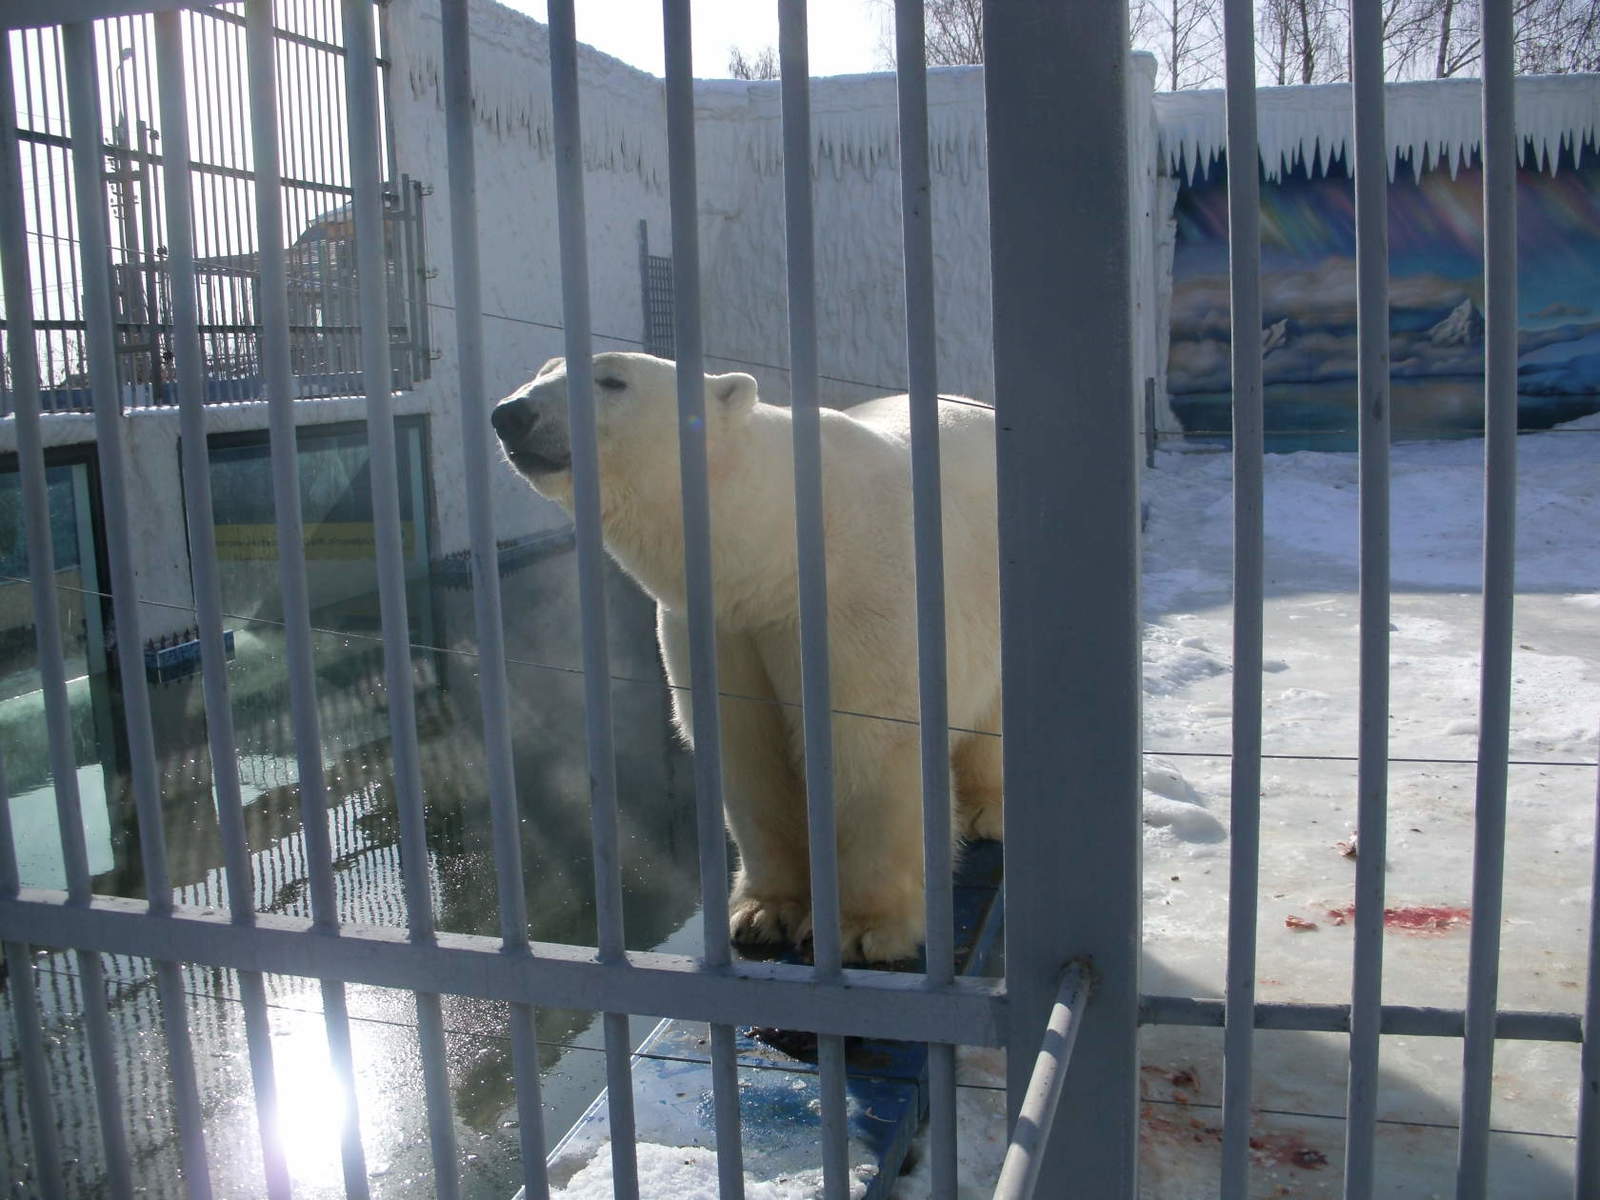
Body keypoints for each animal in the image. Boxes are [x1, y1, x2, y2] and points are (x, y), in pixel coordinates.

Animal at [492, 352, 998, 966]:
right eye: (543, 371)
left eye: (612, 380)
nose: (511, 414)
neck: (778, 553)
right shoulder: (724, 627)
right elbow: (749, 752)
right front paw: (764, 913)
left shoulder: (861, 597)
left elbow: (871, 748)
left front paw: (866, 929)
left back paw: (986, 810)